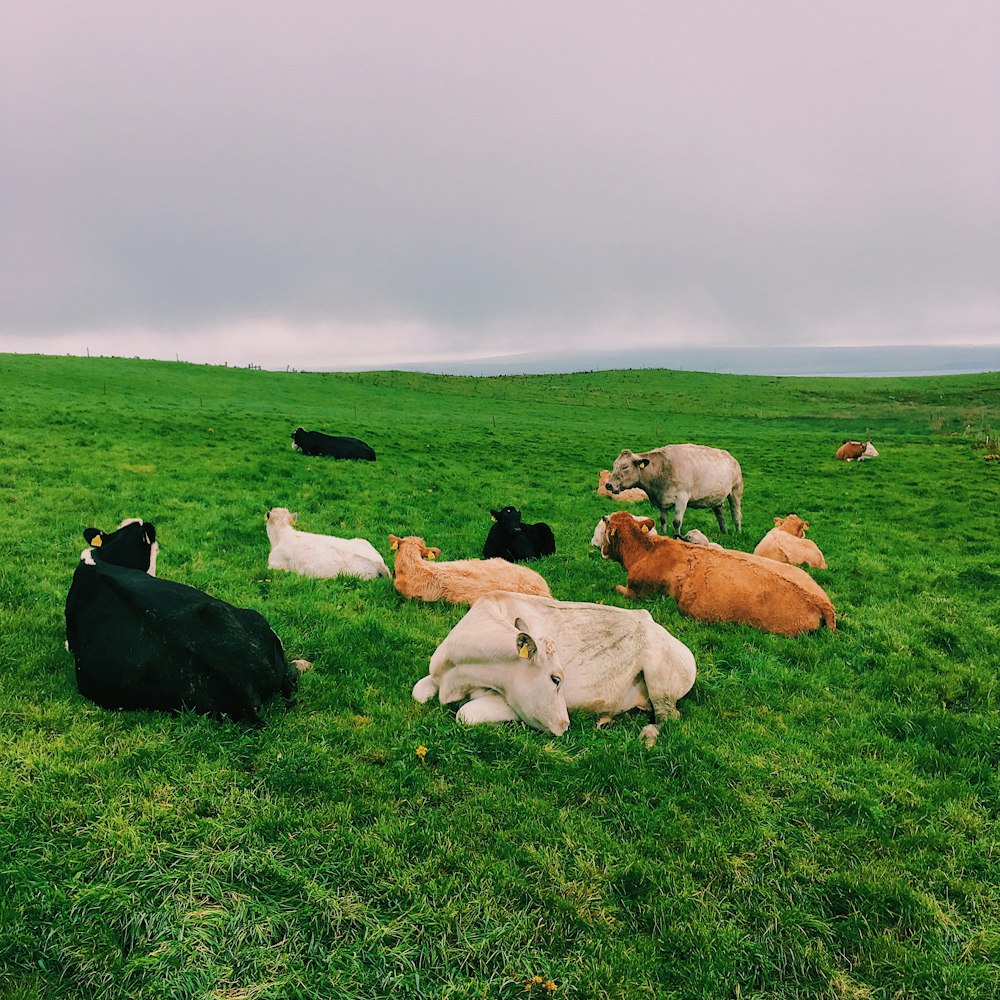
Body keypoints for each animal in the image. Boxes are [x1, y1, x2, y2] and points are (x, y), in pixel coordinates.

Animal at [412, 588, 696, 748]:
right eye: (556, 679)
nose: (565, 724)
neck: (455, 678)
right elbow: (418, 692)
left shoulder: (509, 704)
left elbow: (465, 714)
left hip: (661, 680)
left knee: (670, 716)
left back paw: (648, 736)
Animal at [596, 512, 840, 636]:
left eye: (606, 523)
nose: (604, 515)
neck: (646, 551)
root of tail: (820, 600)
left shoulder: (637, 591)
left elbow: (616, 588)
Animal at [604, 446, 740, 536]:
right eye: (614, 465)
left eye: (625, 467)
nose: (608, 485)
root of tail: (731, 457)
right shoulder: (661, 500)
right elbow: (663, 520)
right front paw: (664, 534)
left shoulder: (682, 498)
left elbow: (676, 522)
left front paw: (677, 536)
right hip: (716, 498)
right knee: (720, 514)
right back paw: (724, 532)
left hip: (735, 490)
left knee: (736, 513)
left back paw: (738, 531)